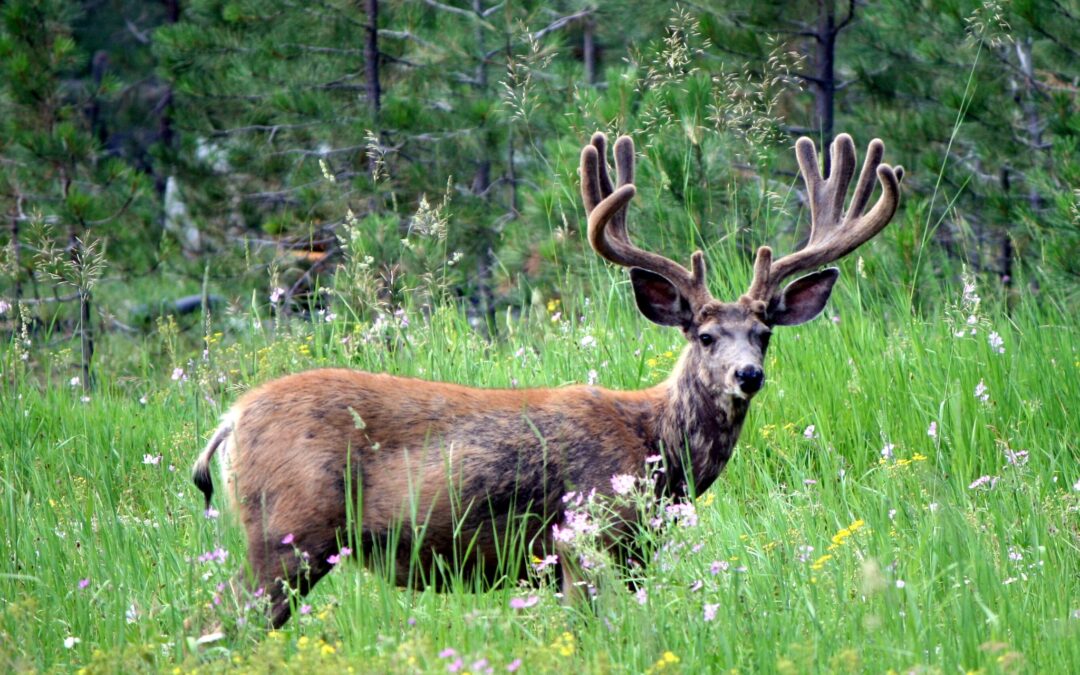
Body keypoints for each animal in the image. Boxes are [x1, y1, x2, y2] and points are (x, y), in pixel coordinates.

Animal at [194, 131, 902, 626]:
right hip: (287, 532)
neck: (655, 447)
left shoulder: (634, 552)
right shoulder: (584, 535)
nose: (748, 375)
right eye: (704, 337)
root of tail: (230, 420)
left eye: (763, 333)